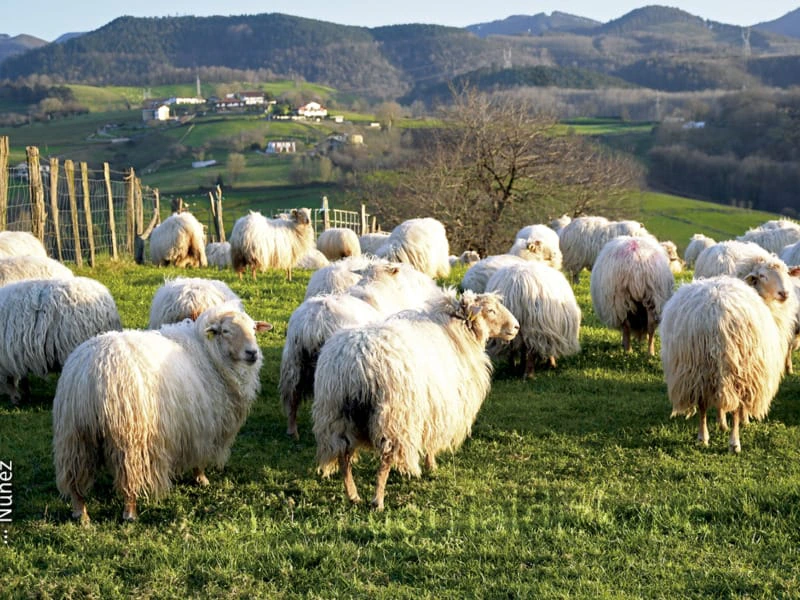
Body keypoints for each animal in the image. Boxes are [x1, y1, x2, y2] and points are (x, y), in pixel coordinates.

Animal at [0, 276, 122, 404]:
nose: (15, 401)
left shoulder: (11, 358)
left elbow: (14, 379)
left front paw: (19, 397)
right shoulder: (19, 357)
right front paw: (25, 395)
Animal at [53, 302, 274, 524]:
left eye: (253, 329)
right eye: (226, 331)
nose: (252, 353)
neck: (210, 355)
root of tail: (92, 372)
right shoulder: (203, 425)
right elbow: (200, 457)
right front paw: (201, 479)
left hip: (74, 437)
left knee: (74, 480)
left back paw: (81, 514)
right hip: (129, 439)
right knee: (129, 479)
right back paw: (130, 513)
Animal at [312, 288, 520, 508]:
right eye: (491, 310)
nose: (516, 326)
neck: (456, 334)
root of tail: (357, 362)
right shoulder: (439, 406)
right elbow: (432, 440)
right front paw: (431, 465)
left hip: (336, 415)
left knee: (343, 456)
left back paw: (352, 495)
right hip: (393, 416)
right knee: (385, 459)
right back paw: (378, 500)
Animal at [664, 274, 788, 452]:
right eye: (763, 276)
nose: (784, 294)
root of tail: (715, 314)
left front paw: (721, 423)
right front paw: (739, 422)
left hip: (698, 366)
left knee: (702, 402)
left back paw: (703, 437)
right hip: (737, 367)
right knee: (734, 407)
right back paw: (734, 443)